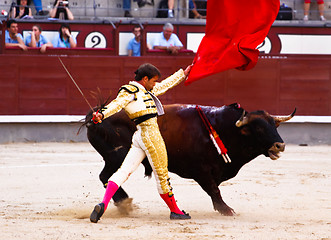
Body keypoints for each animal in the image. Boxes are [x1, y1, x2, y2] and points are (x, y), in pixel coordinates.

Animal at [85, 103, 296, 216]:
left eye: (274, 125)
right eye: (258, 128)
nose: (280, 145)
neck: (223, 129)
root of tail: (96, 115)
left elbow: (214, 188)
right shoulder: (201, 171)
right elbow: (214, 189)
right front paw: (226, 210)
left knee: (107, 177)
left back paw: (125, 204)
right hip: (117, 157)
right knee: (107, 176)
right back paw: (125, 204)